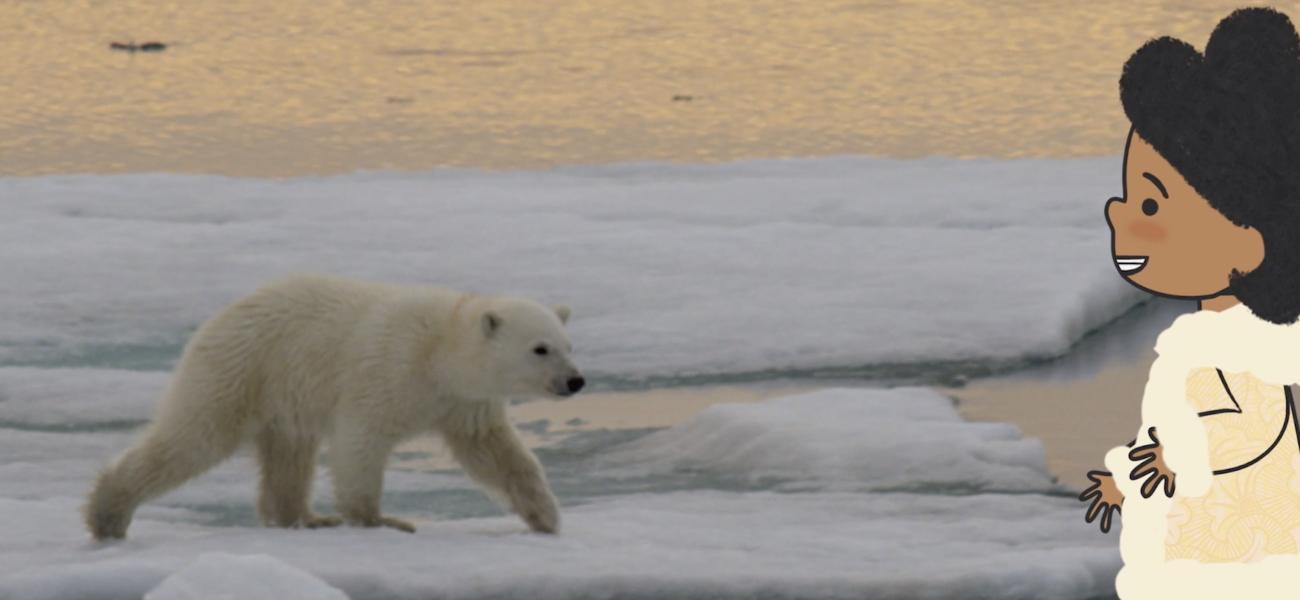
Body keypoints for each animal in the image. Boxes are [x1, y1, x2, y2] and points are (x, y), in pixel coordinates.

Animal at [86, 274, 585, 540]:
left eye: (567, 344)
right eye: (540, 349)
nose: (575, 381)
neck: (440, 351)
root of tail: (218, 317)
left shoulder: (465, 403)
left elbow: (496, 454)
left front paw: (546, 516)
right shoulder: (388, 372)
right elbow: (359, 442)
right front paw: (380, 520)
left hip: (282, 396)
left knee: (288, 457)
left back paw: (305, 518)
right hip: (243, 369)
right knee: (194, 437)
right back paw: (107, 514)